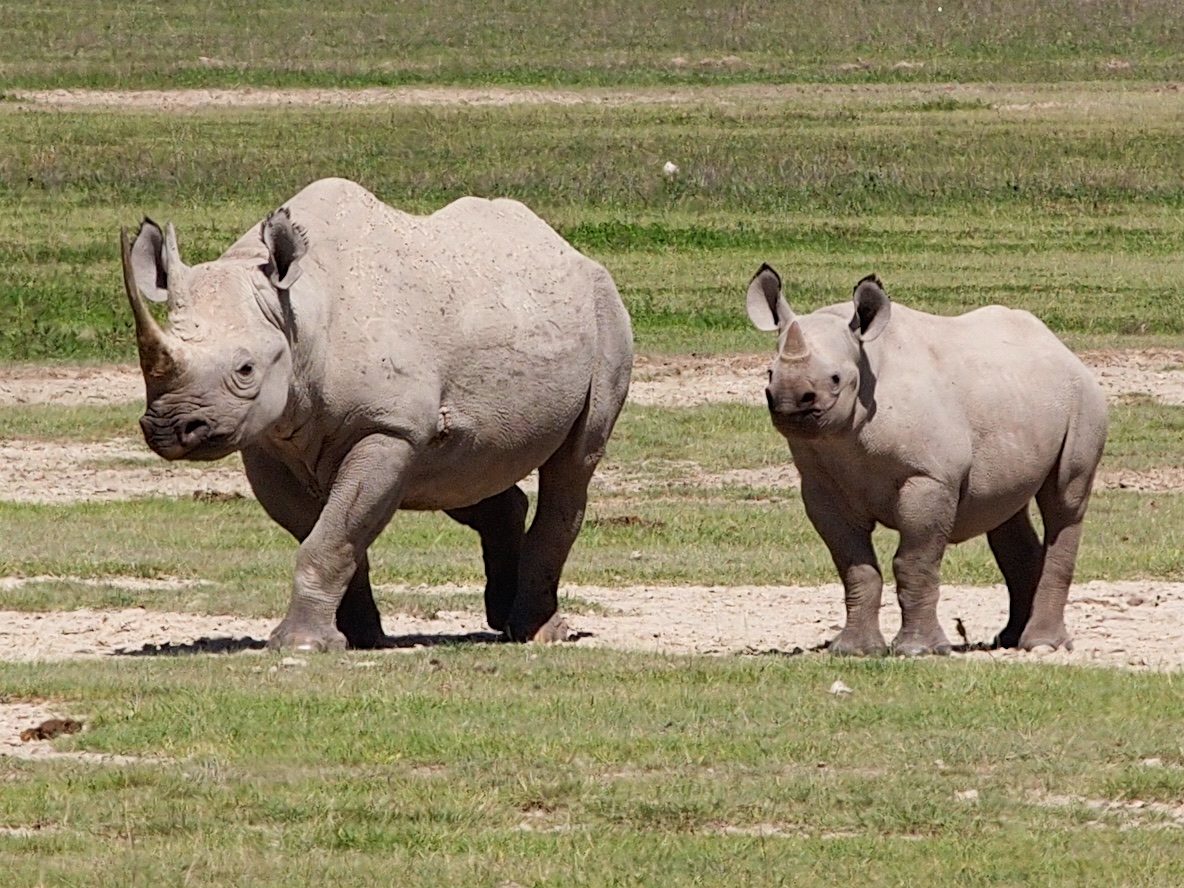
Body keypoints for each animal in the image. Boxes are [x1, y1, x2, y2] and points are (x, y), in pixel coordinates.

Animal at [120, 178, 634, 653]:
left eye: (245, 369)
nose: (167, 428)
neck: (298, 312)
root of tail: (568, 248)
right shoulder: (267, 441)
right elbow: (330, 535)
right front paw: (357, 638)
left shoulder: (389, 428)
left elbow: (333, 534)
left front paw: (300, 645)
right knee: (466, 466)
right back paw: (502, 618)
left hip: (606, 309)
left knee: (573, 464)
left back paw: (536, 633)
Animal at [748, 267, 1108, 658]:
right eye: (769, 374)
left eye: (836, 379)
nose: (788, 400)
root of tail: (1063, 349)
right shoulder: (821, 486)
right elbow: (854, 566)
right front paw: (854, 650)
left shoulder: (928, 478)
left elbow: (914, 562)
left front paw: (918, 650)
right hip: (1020, 398)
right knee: (1006, 508)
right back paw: (1008, 640)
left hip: (1084, 398)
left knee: (1064, 500)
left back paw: (1042, 645)